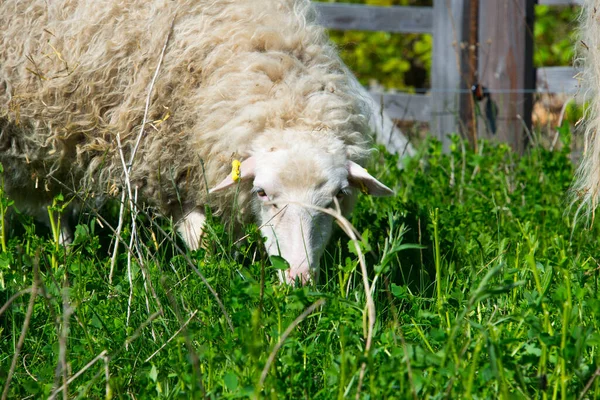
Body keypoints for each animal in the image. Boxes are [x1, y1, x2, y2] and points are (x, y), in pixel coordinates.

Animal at [0, 0, 394, 284]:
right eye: (262, 193)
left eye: (337, 197)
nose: (299, 277)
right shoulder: (163, 159)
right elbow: (200, 239)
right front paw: (214, 279)